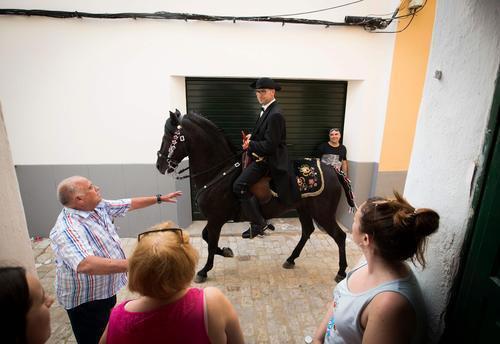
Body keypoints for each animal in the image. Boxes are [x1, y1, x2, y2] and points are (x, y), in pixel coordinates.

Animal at [156, 110, 352, 282]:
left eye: (168, 137)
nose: (159, 165)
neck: (219, 172)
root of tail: (333, 170)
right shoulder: (214, 219)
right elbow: (206, 237)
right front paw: (225, 251)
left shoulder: (216, 219)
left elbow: (210, 242)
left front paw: (204, 270)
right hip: (303, 208)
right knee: (307, 231)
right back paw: (291, 259)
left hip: (323, 213)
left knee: (340, 236)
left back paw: (341, 271)